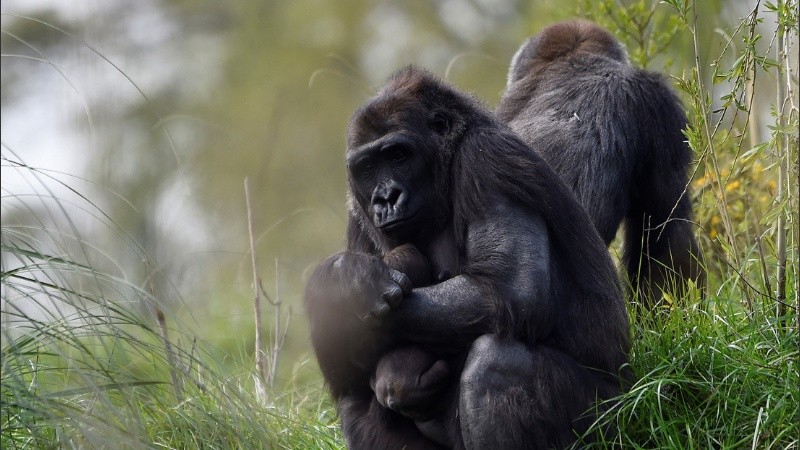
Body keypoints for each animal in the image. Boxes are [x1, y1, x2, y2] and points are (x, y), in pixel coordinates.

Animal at [304, 65, 632, 448]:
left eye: (398, 155)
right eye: (367, 166)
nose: (385, 198)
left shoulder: (487, 160)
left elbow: (509, 290)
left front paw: (337, 290)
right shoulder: (358, 212)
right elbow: (345, 365)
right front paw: (340, 283)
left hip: (615, 421)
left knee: (495, 364)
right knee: (355, 398)